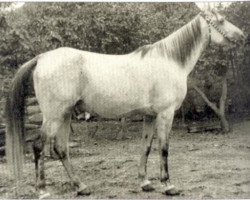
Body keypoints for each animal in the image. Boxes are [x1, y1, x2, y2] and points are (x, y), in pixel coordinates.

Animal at [4, 5, 245, 197]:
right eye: (221, 20)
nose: (242, 37)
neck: (169, 60)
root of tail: (42, 58)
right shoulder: (166, 114)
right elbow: (163, 148)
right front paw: (168, 185)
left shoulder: (150, 116)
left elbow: (146, 147)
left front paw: (145, 183)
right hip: (54, 116)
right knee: (38, 146)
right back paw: (43, 190)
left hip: (65, 115)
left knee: (61, 149)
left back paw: (81, 187)